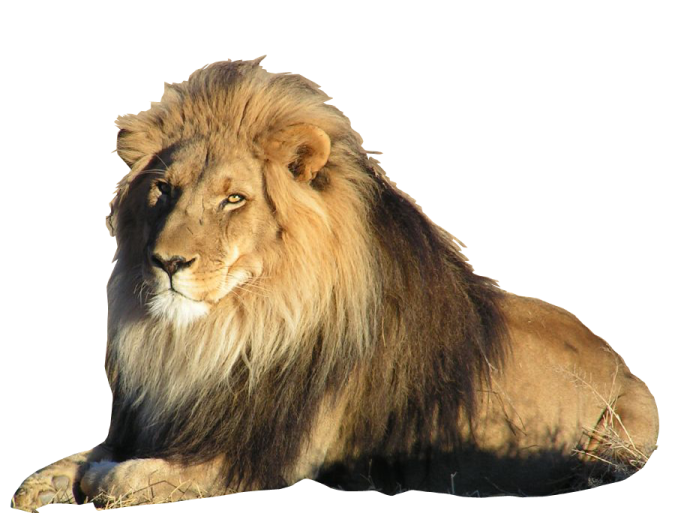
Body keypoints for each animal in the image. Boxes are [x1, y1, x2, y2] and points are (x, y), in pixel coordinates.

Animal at [12, 58, 659, 509]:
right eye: (163, 190)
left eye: (233, 199)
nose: (167, 262)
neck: (224, 335)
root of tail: (620, 358)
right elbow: (82, 456)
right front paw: (44, 480)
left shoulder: (260, 456)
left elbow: (128, 476)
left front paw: (101, 481)